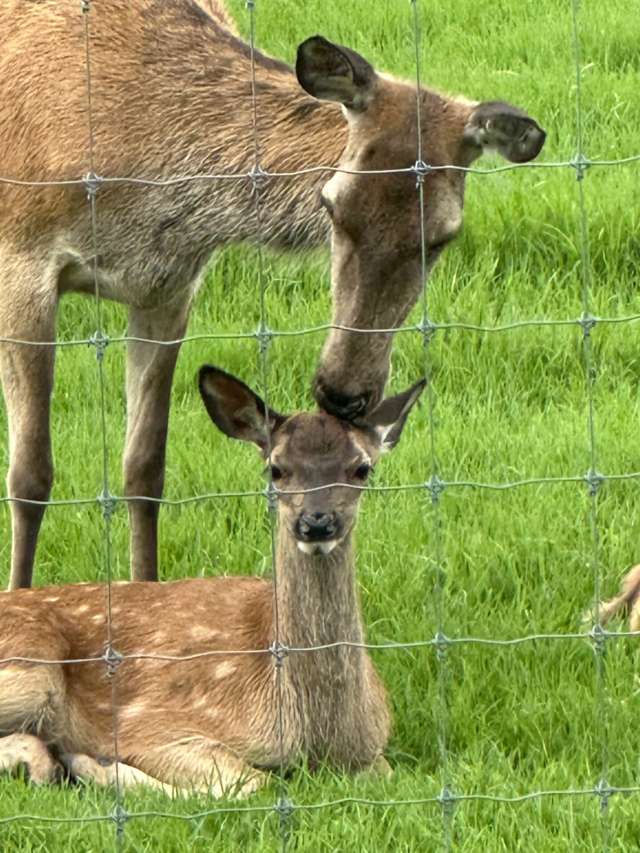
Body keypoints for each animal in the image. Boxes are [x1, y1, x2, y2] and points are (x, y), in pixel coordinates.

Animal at [0, 368, 424, 800]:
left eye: (362, 468)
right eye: (275, 468)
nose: (316, 522)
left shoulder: (373, 753)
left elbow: (386, 772)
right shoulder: (152, 722)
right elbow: (254, 782)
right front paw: (94, 762)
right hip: (32, 670)